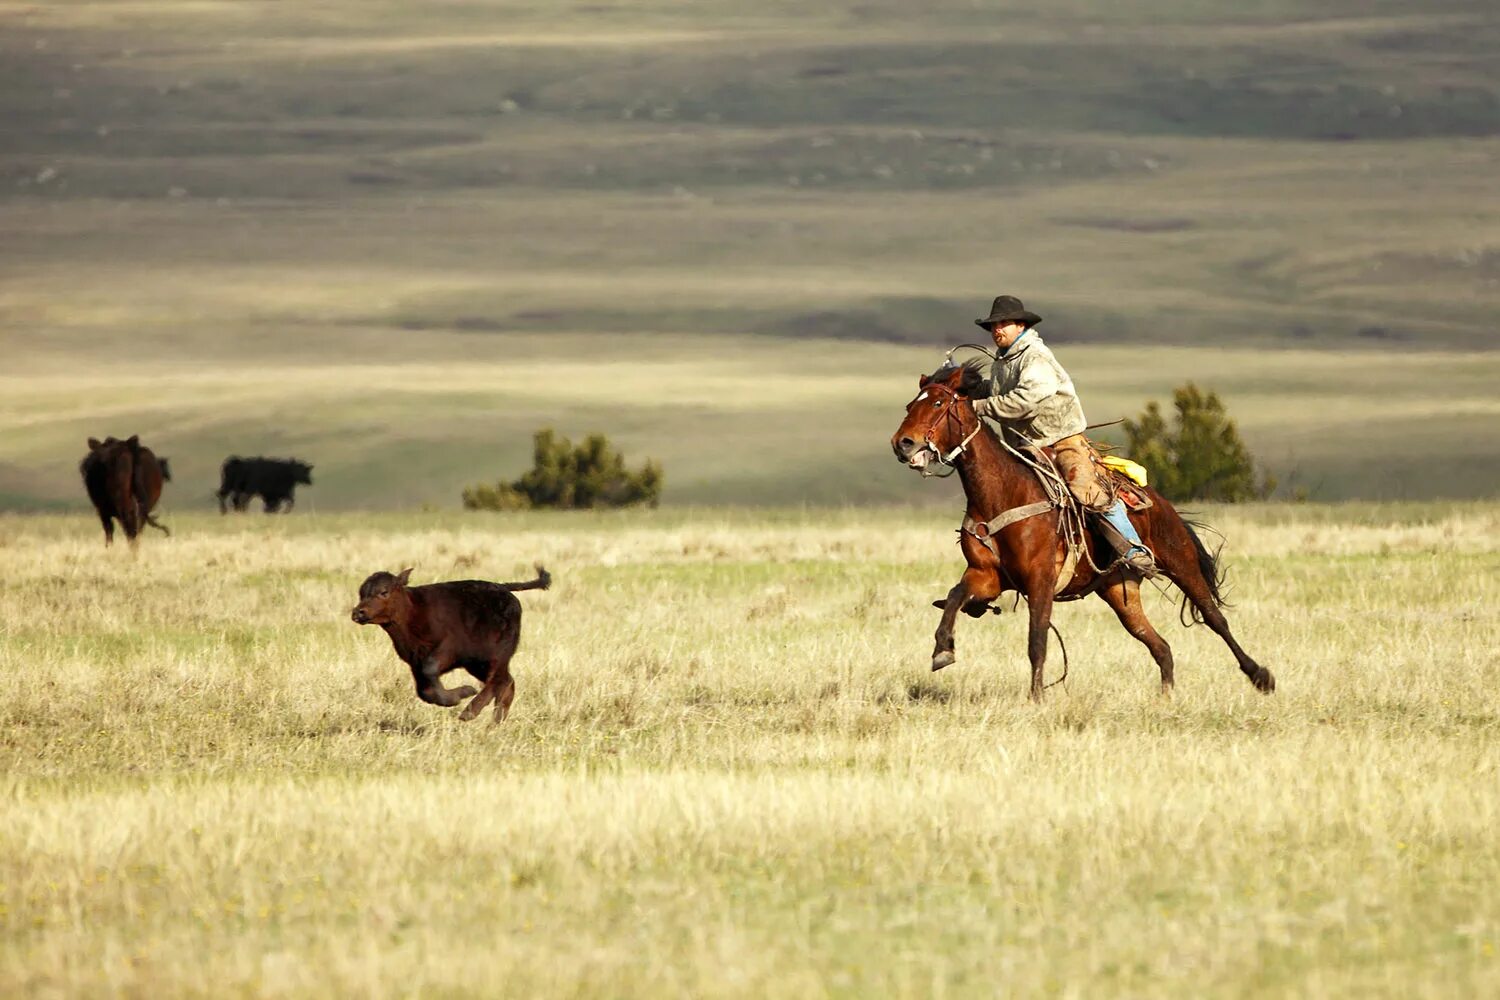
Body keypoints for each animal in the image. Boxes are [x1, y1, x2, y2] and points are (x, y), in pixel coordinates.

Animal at [351, 566, 552, 722]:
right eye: (361, 593)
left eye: (384, 592)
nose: (358, 612)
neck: (413, 612)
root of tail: (503, 588)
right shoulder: (415, 662)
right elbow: (425, 692)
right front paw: (455, 697)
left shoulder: (446, 651)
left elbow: (430, 670)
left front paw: (463, 693)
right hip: (477, 663)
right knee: (507, 682)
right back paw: (494, 723)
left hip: (496, 655)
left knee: (499, 680)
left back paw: (471, 711)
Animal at [888, 361, 1278, 704]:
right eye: (910, 405)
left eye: (938, 403)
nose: (902, 443)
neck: (1002, 494)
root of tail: (1159, 501)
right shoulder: (986, 576)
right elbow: (955, 596)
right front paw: (943, 650)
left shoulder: (1040, 581)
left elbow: (1037, 641)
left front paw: (1037, 699)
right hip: (1119, 591)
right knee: (1160, 646)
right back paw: (1166, 698)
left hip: (1180, 563)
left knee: (1214, 618)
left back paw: (1261, 676)